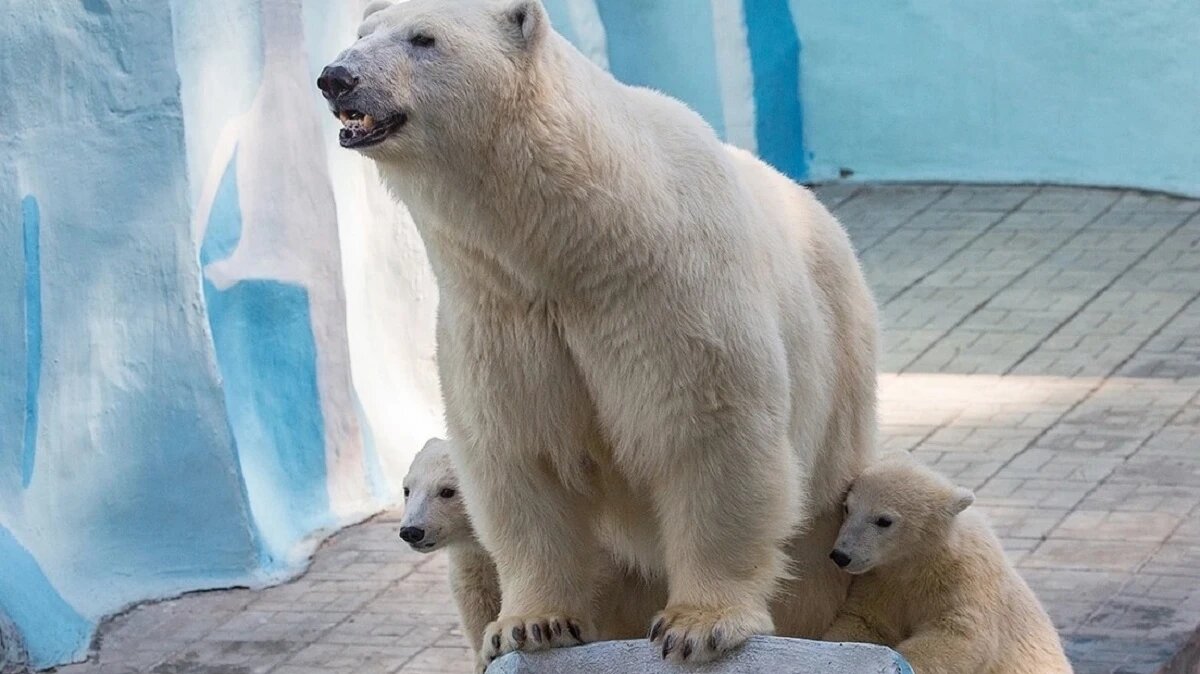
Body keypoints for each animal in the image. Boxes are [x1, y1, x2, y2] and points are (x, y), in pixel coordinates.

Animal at [321, 0, 883, 662]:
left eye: (423, 38)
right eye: (360, 33)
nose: (336, 77)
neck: (575, 237)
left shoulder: (666, 290)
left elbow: (711, 432)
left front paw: (699, 625)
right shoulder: (499, 311)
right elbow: (519, 454)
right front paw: (529, 623)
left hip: (839, 375)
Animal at [825, 450, 1070, 671]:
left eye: (883, 520)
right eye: (847, 507)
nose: (841, 555)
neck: (916, 561)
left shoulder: (964, 580)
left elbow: (958, 632)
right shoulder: (880, 583)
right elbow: (865, 621)